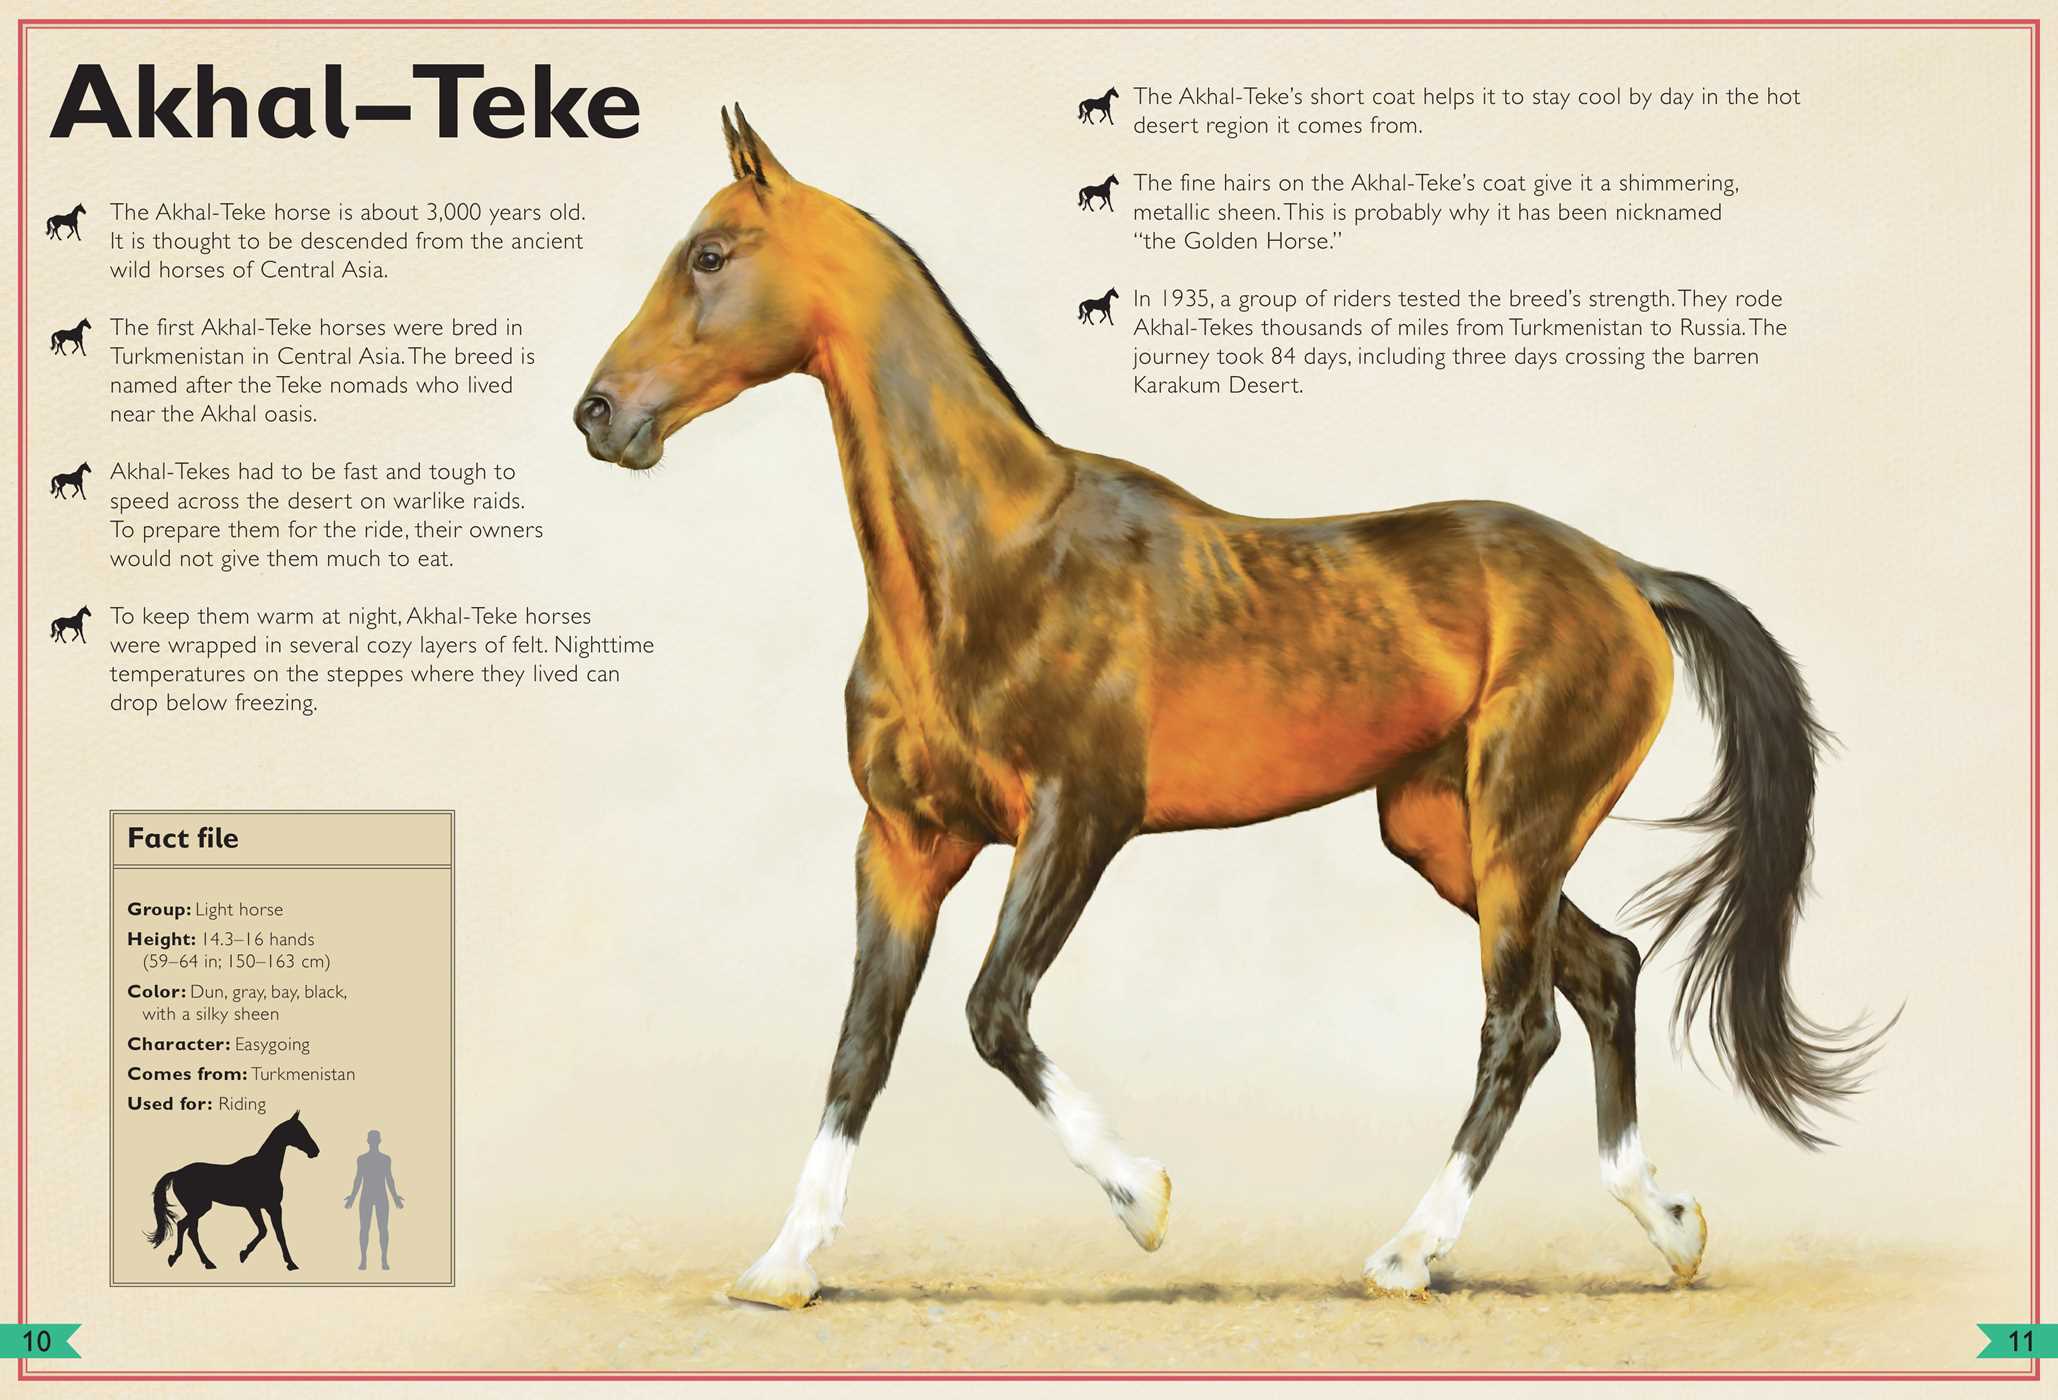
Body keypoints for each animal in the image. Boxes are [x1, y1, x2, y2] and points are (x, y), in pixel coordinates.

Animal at [146, 1111, 320, 1271]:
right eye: (299, 1131)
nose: (315, 1151)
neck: (264, 1168)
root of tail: (177, 1172)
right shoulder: (253, 1207)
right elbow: (263, 1231)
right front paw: (243, 1254)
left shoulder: (274, 1207)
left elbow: (280, 1234)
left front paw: (291, 1263)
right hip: (199, 1208)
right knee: (184, 1226)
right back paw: (180, 1259)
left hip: (196, 1209)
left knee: (190, 1231)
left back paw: (204, 1262)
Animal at [575, 107, 1884, 1311]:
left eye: (710, 253)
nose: (599, 413)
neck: (990, 564)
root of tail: (1624, 573)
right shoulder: (903, 841)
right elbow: (860, 1044)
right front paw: (783, 1264)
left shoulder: (1079, 818)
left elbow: (993, 1012)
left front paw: (1142, 1198)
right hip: (1440, 831)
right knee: (1606, 968)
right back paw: (1669, 1224)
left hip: (1521, 821)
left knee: (1521, 1023)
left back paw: (1409, 1254)